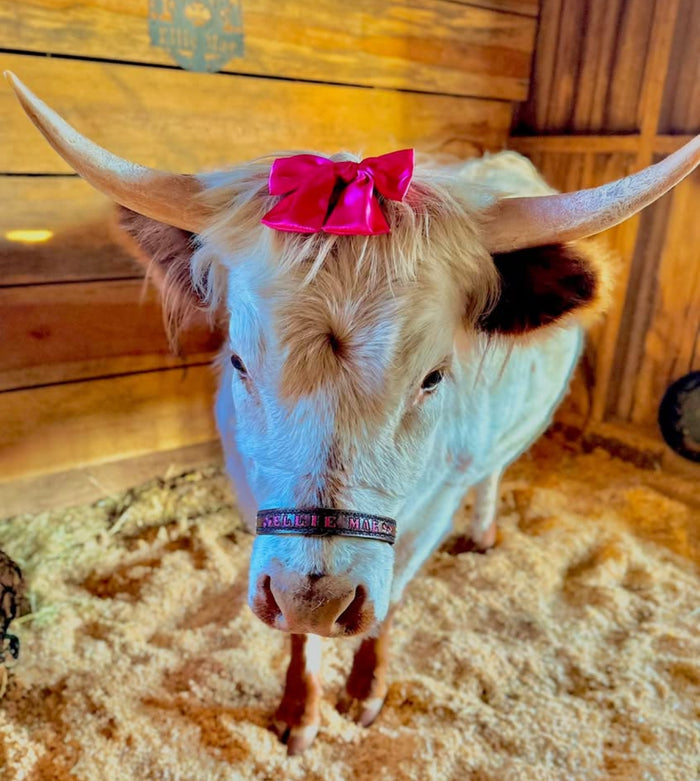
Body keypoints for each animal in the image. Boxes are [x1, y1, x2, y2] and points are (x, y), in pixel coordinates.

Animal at [7, 71, 699, 755]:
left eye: (433, 376)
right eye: (239, 361)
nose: (319, 599)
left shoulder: (431, 506)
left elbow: (388, 605)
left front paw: (365, 692)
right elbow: (295, 634)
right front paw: (298, 710)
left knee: (493, 475)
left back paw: (481, 534)